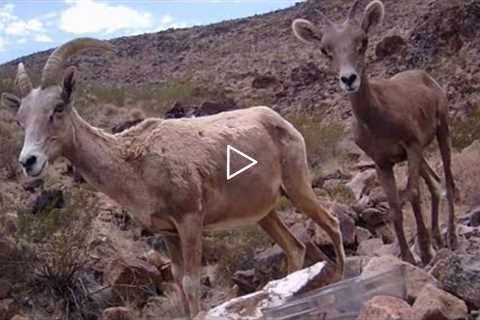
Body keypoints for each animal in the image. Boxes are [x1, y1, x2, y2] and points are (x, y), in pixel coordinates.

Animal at [0, 38, 344, 318]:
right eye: (20, 120)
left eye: (58, 108)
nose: (29, 161)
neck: (134, 164)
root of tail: (282, 123)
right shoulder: (167, 232)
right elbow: (179, 281)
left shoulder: (190, 220)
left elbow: (191, 282)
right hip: (265, 214)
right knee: (294, 247)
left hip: (298, 188)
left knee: (331, 223)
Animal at [292, 0, 458, 264]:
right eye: (325, 50)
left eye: (363, 41)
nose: (349, 79)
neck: (378, 119)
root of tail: (427, 78)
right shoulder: (382, 162)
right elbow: (394, 207)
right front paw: (409, 258)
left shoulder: (411, 147)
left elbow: (412, 194)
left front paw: (424, 252)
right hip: (420, 156)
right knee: (434, 184)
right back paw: (438, 239)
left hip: (442, 131)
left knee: (448, 183)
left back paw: (451, 239)